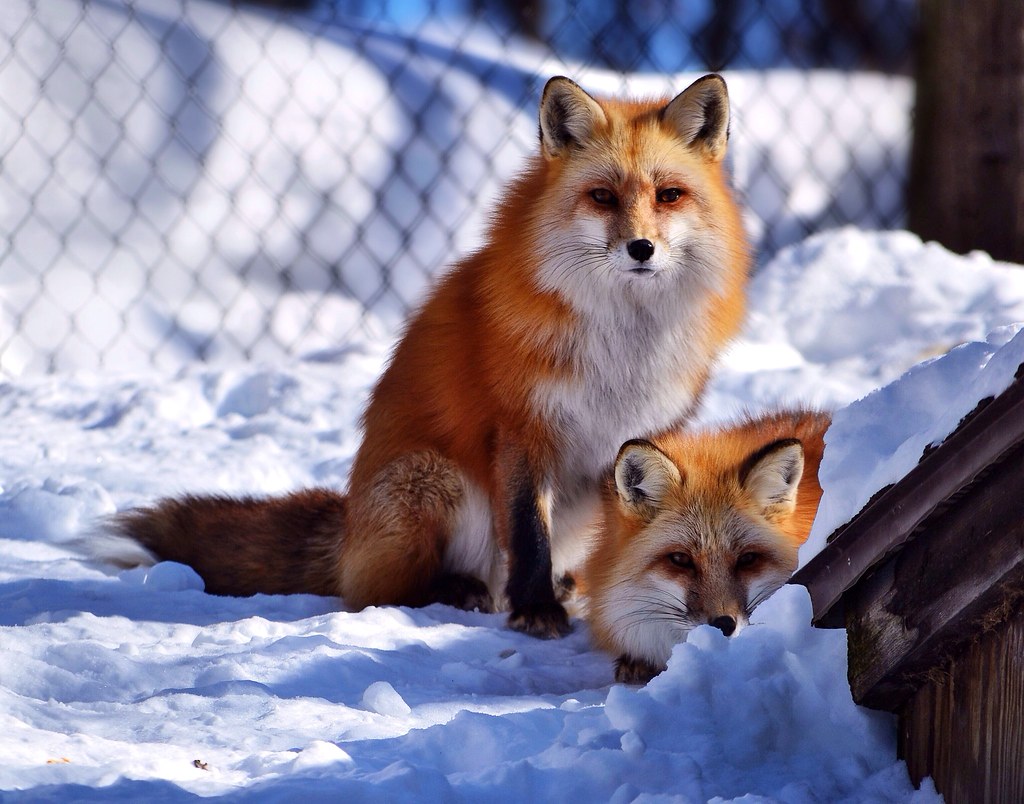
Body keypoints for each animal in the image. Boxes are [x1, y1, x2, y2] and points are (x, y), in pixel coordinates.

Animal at [107, 74, 750, 638]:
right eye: (602, 197)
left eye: (669, 195)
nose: (641, 248)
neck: (624, 343)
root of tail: (348, 529)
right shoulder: (522, 428)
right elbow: (528, 535)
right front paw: (536, 611)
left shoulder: (645, 438)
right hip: (429, 480)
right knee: (379, 591)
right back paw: (469, 592)